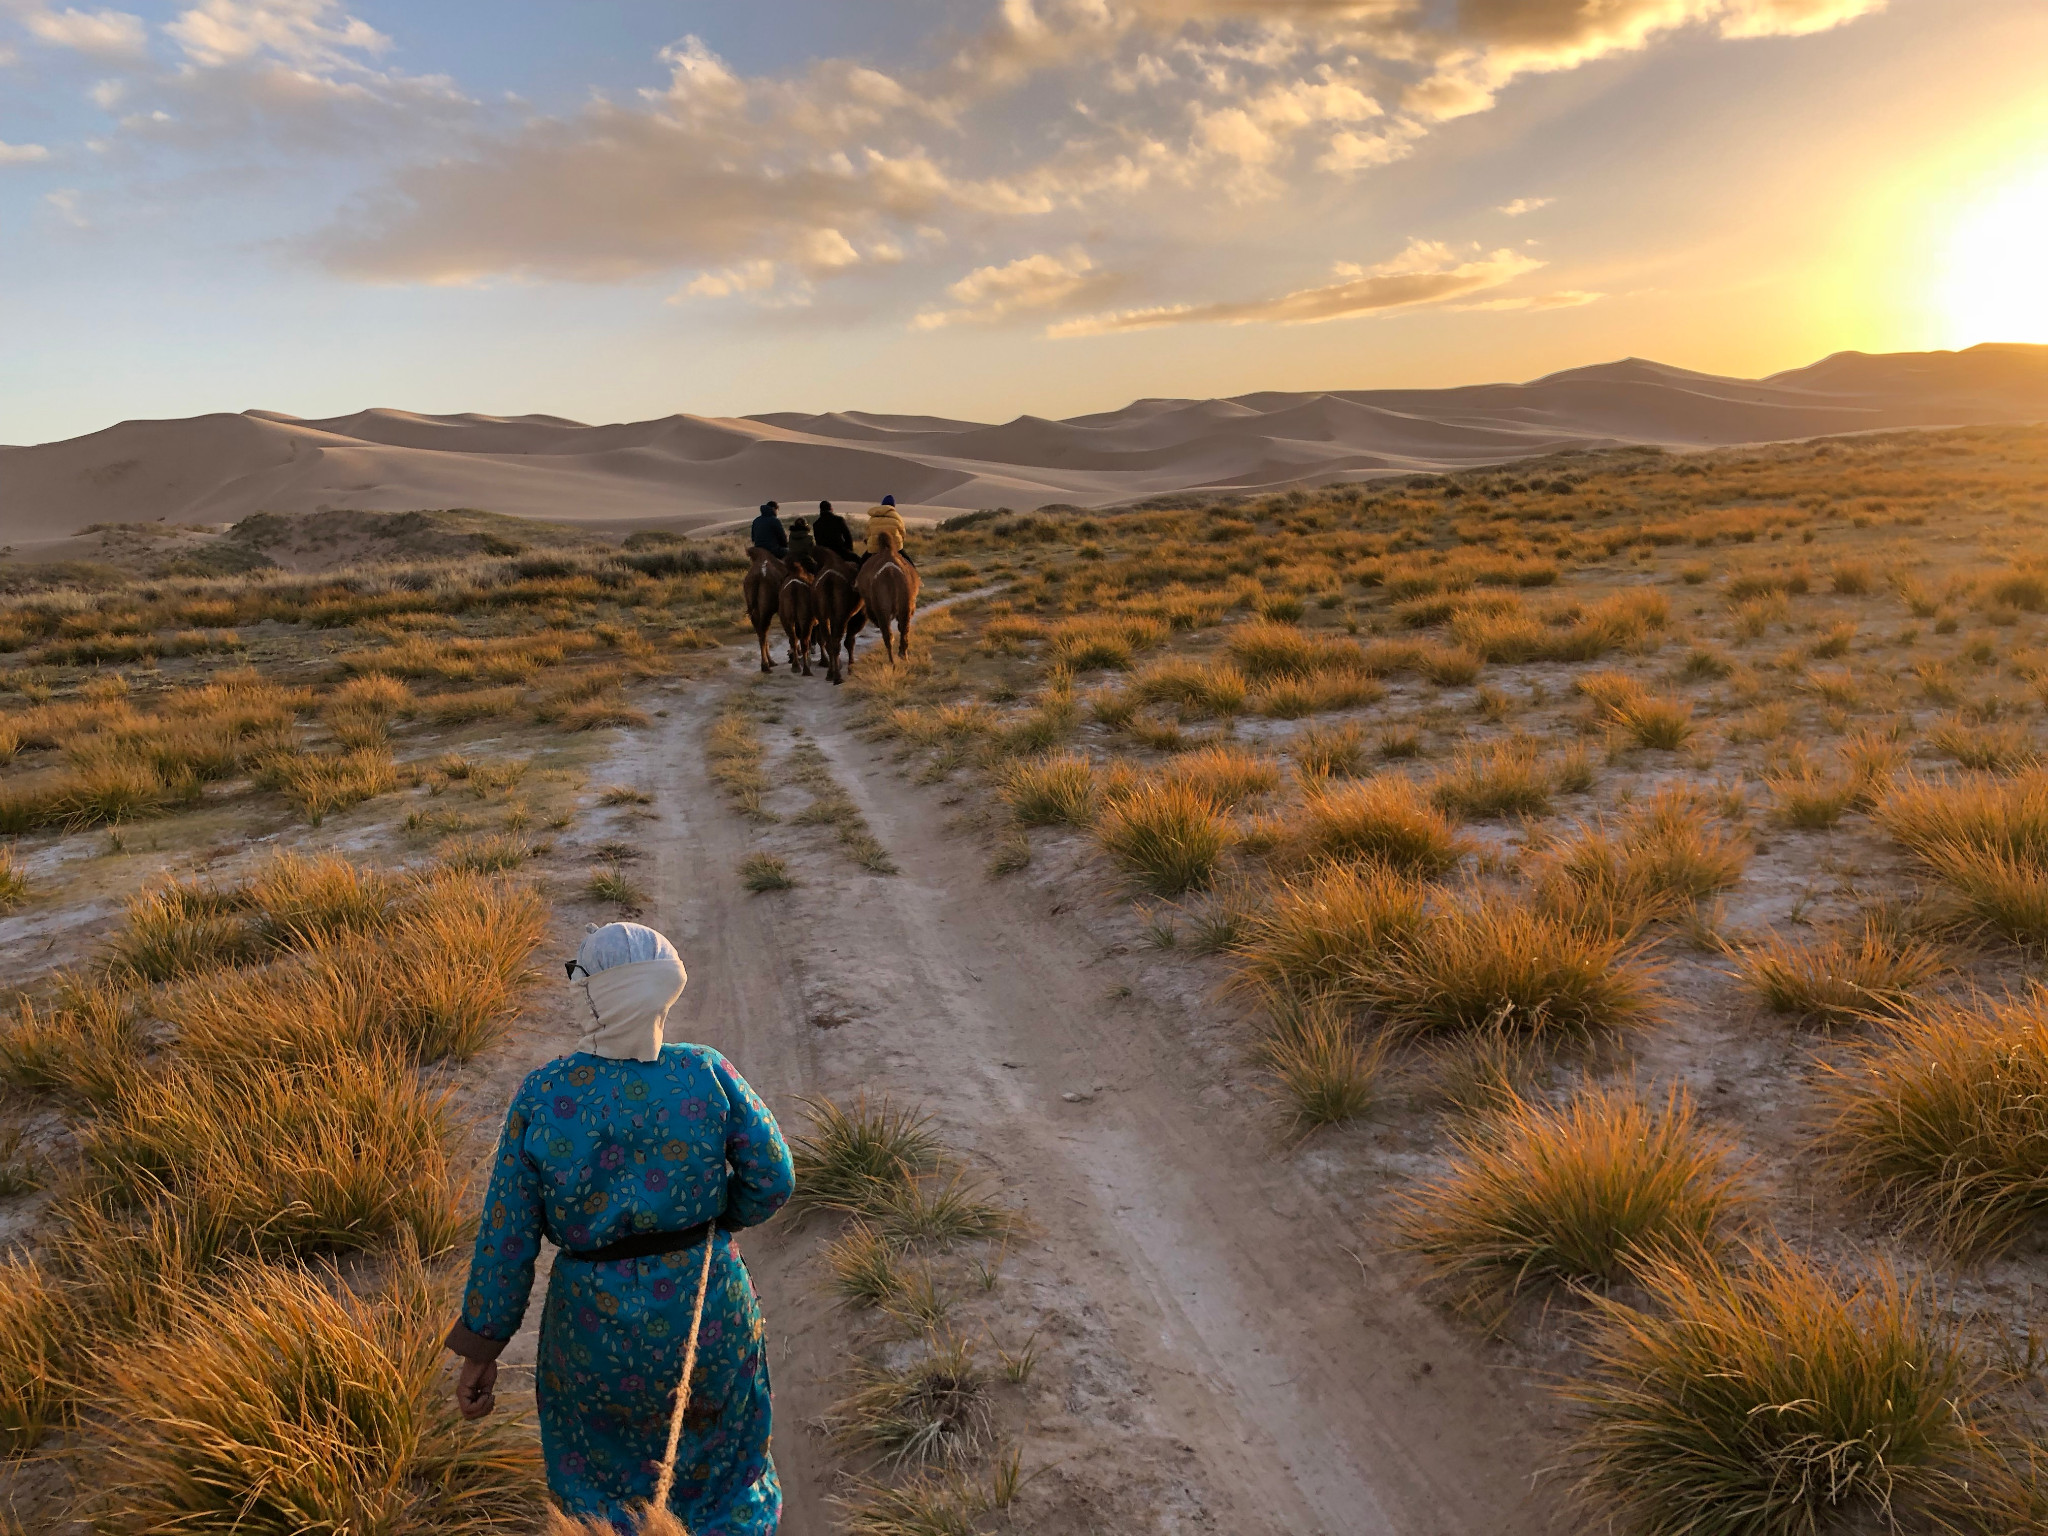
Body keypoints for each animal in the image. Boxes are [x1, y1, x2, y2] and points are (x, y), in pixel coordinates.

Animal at [811, 544, 868, 684]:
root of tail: (829, 581)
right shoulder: (858, 616)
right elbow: (849, 641)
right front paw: (851, 668)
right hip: (841, 616)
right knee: (837, 642)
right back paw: (837, 677)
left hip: (823, 617)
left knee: (829, 641)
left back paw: (830, 673)